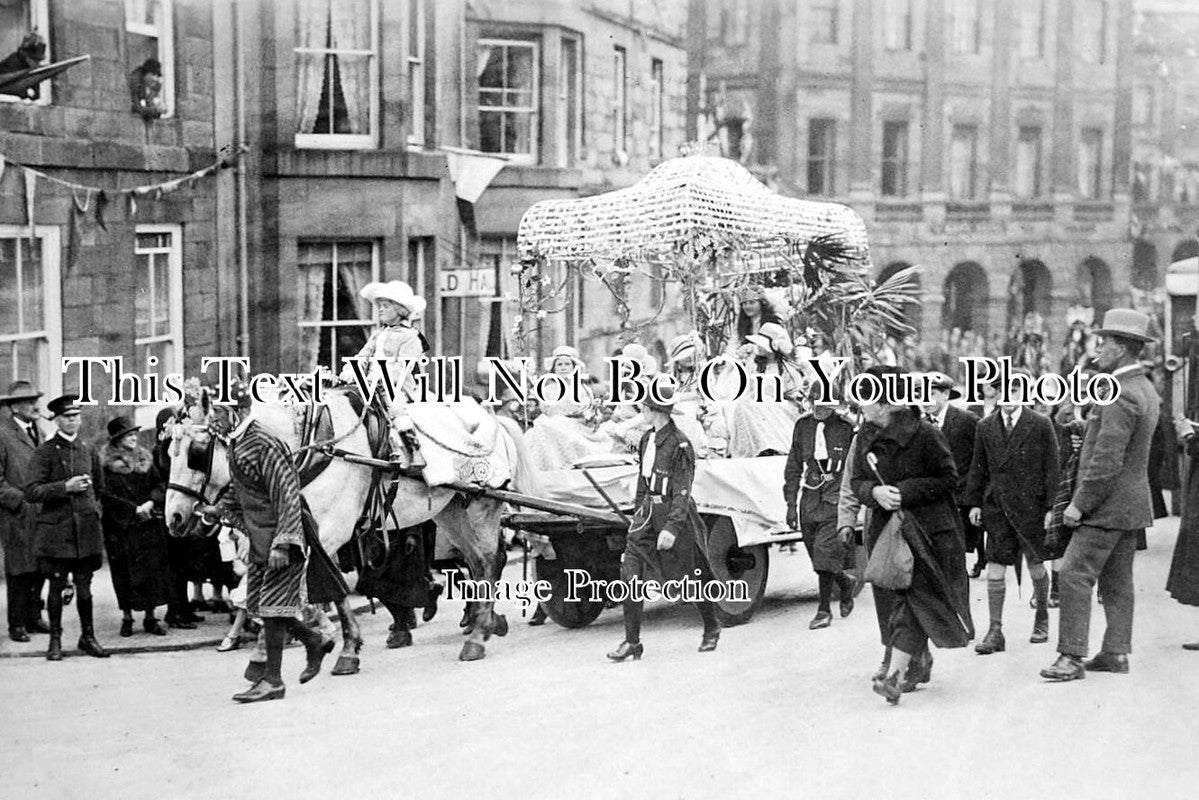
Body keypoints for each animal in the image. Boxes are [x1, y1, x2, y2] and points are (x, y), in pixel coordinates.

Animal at [163, 388, 544, 662]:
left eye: (196, 452)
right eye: (168, 451)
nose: (174, 518)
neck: (315, 446)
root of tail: (494, 420)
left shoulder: (331, 530)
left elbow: (315, 590)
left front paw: (330, 640)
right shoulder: (302, 532)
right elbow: (315, 591)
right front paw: (337, 641)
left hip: (481, 504)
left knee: (488, 564)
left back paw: (478, 635)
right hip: (452, 510)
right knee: (480, 564)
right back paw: (486, 623)